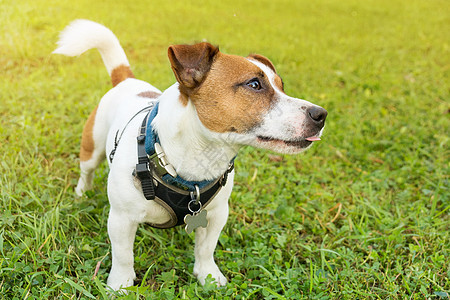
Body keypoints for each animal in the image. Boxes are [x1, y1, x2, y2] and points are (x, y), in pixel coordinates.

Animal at [53, 19, 326, 290]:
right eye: (254, 84)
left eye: (282, 86)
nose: (321, 115)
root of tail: (127, 80)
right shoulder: (121, 219)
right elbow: (123, 255)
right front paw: (120, 284)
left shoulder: (216, 215)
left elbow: (206, 249)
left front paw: (208, 275)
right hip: (92, 148)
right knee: (86, 171)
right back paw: (82, 193)